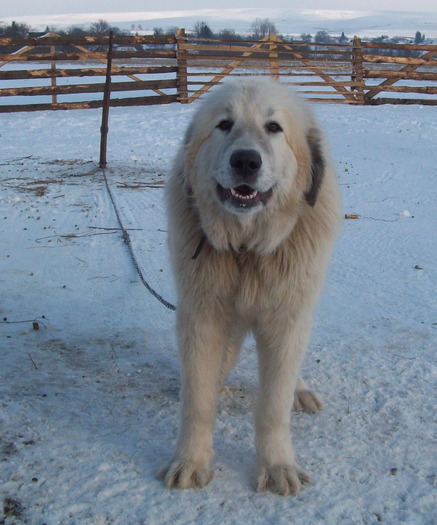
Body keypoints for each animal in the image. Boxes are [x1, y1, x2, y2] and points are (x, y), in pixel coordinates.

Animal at [158, 75, 342, 494]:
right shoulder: (201, 318)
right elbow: (197, 400)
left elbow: (273, 405)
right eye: (224, 125)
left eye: (274, 128)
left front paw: (277, 466)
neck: (247, 251)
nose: (245, 160)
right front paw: (190, 461)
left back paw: (300, 390)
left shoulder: (286, 320)